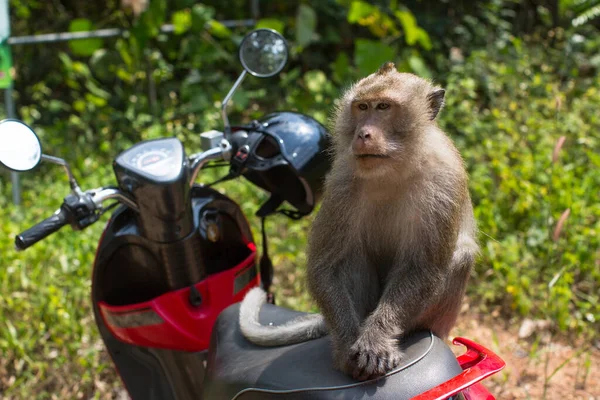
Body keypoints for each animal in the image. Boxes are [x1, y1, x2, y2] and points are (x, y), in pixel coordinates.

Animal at [239, 61, 478, 382]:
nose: (363, 133)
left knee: (461, 254)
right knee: (349, 256)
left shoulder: (444, 179)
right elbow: (326, 266)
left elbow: (423, 267)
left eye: (384, 107)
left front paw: (376, 340)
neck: (393, 169)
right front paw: (347, 346)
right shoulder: (341, 181)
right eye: (362, 107)